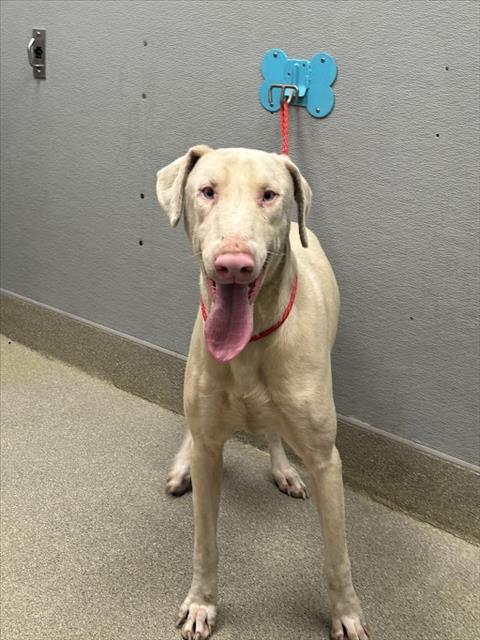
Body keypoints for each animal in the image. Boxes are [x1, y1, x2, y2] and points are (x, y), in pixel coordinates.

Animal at [156, 146, 369, 640]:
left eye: (269, 195)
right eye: (207, 190)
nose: (233, 264)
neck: (251, 341)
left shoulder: (326, 460)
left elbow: (337, 555)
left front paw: (346, 613)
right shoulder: (210, 443)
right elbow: (205, 542)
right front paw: (202, 604)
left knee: (273, 430)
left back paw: (283, 470)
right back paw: (183, 467)